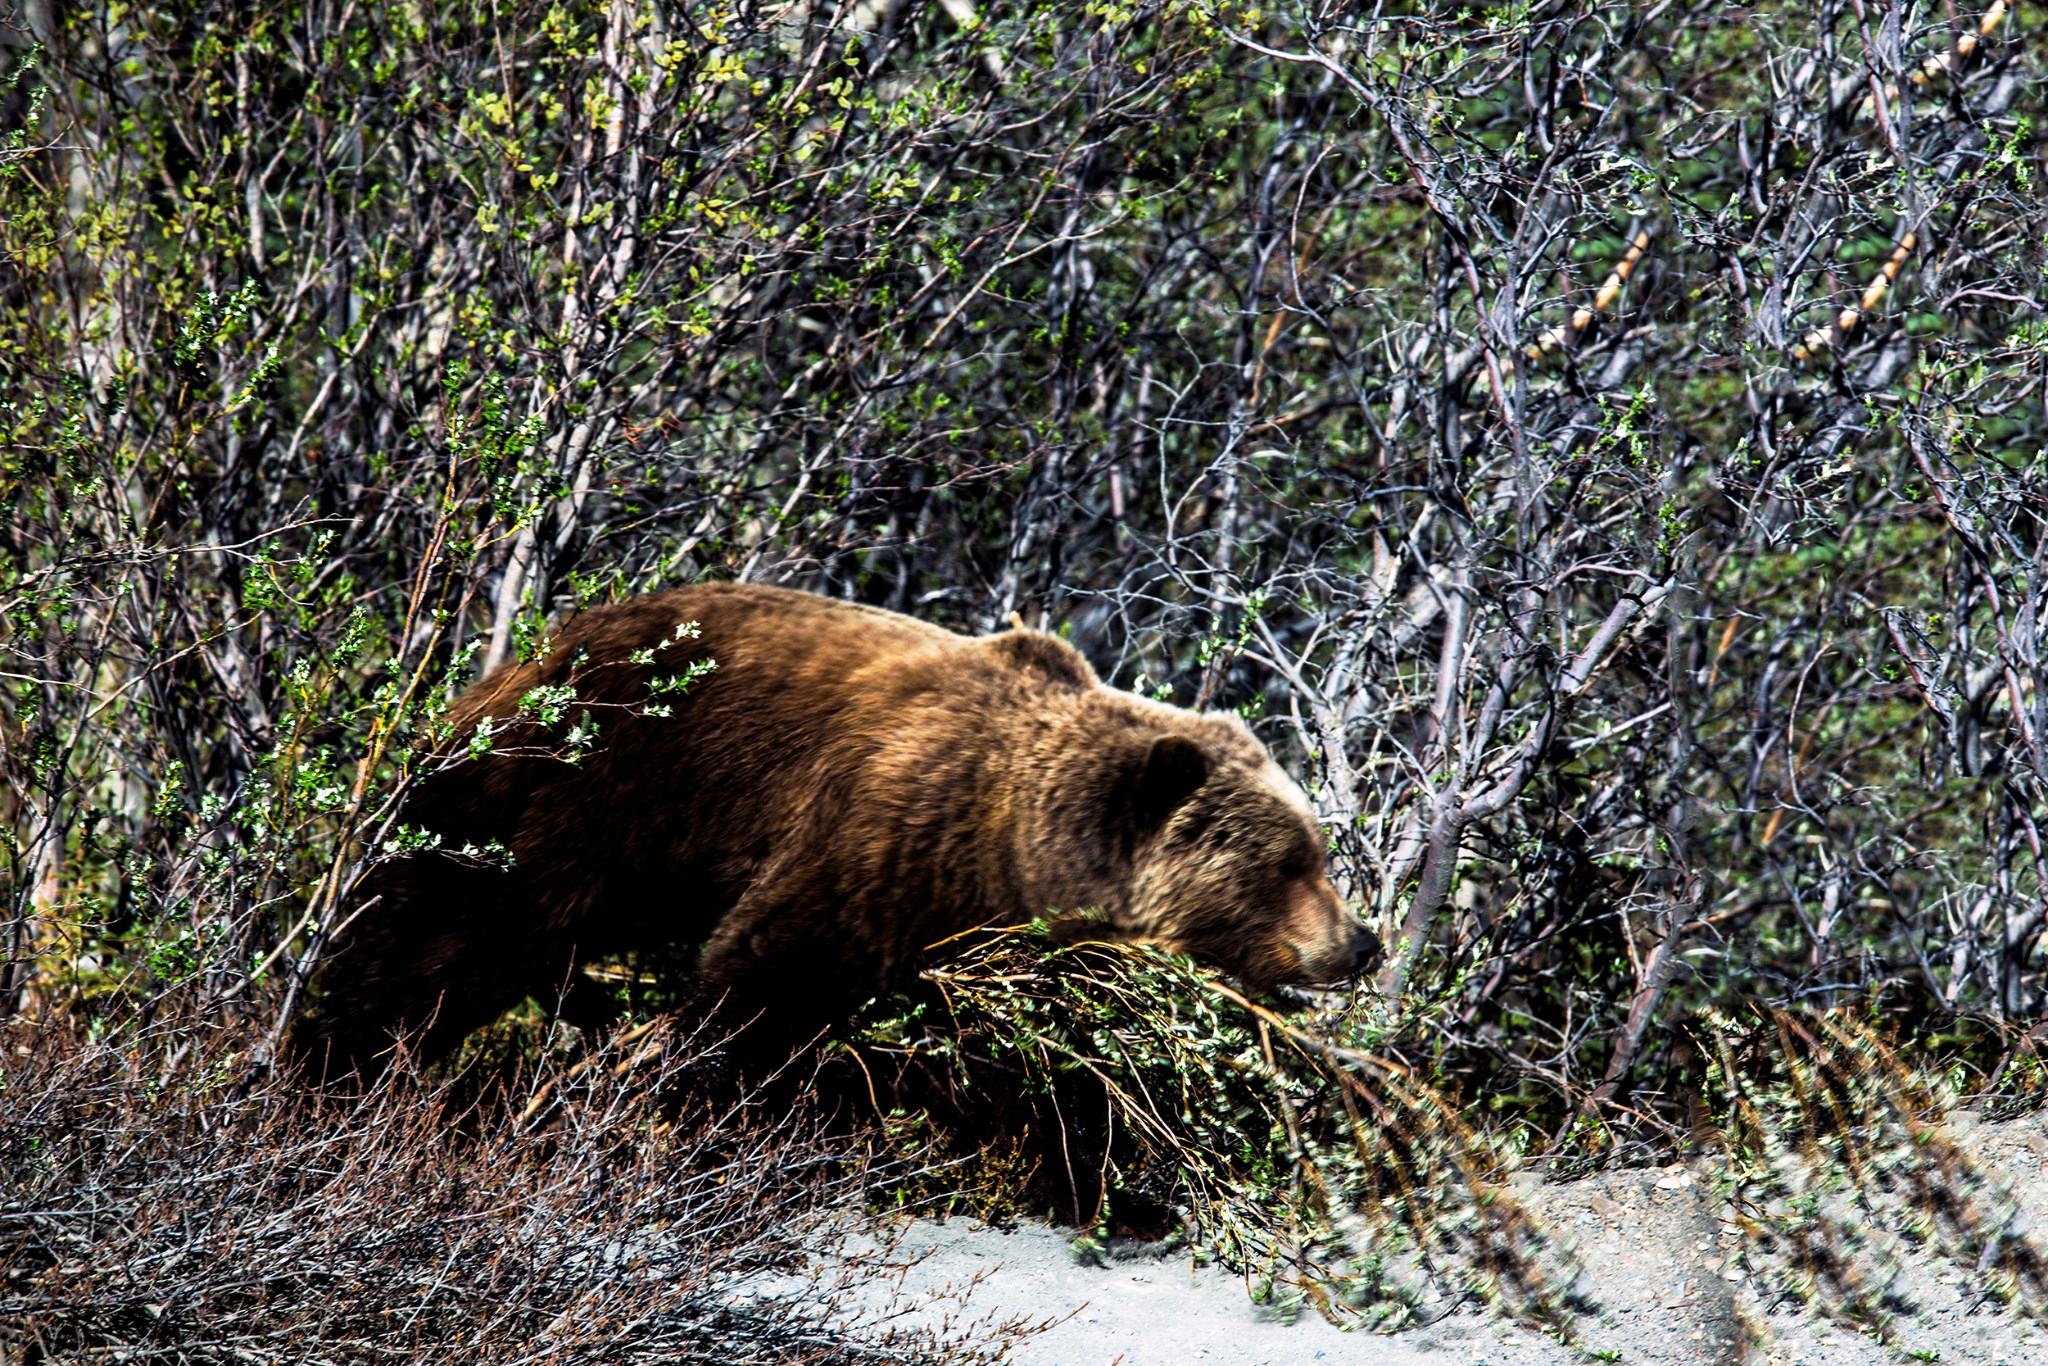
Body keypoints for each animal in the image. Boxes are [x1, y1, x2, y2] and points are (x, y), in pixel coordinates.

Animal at [288, 589, 1376, 1081]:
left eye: (1319, 852)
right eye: (1291, 861)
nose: (1360, 943)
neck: (1013, 846)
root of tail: (511, 667)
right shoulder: (886, 829)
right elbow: (772, 967)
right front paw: (686, 1065)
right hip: (570, 791)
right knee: (447, 930)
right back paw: (337, 1057)